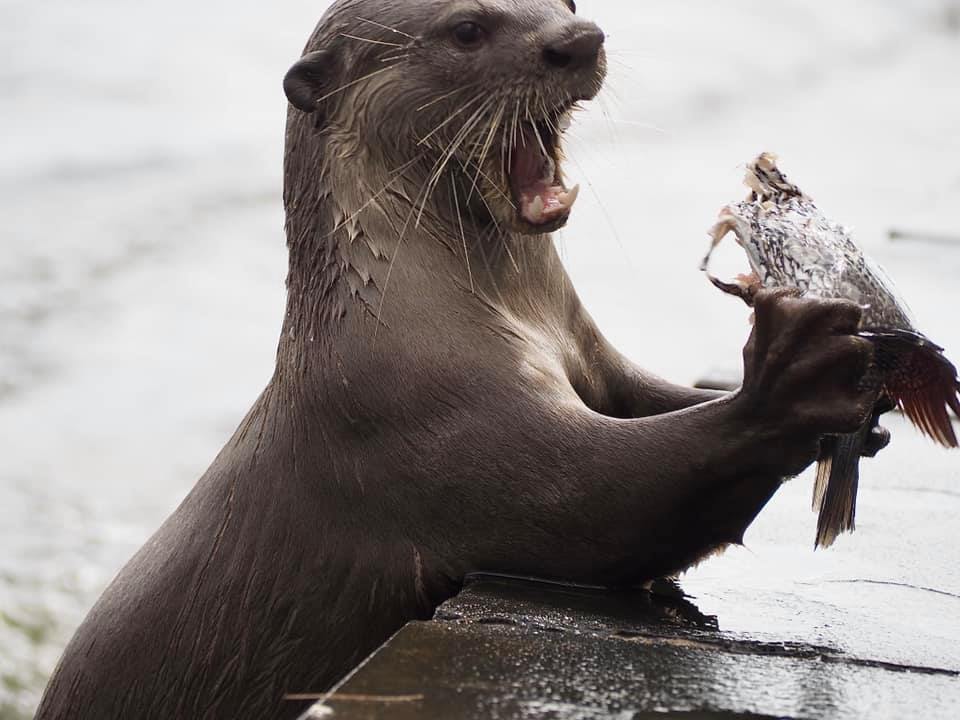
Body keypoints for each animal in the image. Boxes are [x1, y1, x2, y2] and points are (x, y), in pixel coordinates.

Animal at [36, 1, 889, 718]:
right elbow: (598, 496)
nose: (580, 40)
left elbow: (657, 396)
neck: (408, 310)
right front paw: (791, 379)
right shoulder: (416, 413)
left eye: (566, 3)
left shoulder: (587, 354)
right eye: (468, 29)